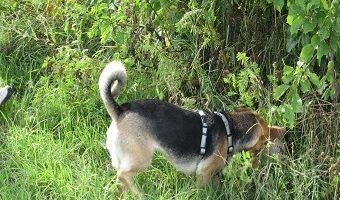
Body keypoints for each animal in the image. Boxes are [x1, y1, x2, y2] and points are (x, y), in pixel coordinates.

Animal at [99, 60, 286, 194]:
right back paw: (140, 194)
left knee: (119, 181)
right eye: (264, 136)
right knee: (123, 175)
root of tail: (119, 110)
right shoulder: (203, 174)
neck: (230, 130)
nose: (283, 130)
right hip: (141, 159)